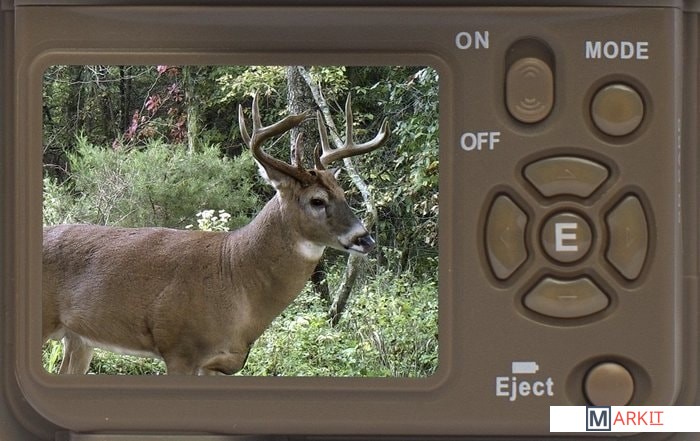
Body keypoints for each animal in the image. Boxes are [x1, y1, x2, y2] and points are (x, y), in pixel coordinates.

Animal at [42, 94, 389, 375]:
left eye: (344, 193)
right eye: (317, 201)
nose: (365, 239)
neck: (236, 273)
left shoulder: (223, 364)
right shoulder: (180, 349)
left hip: (78, 338)